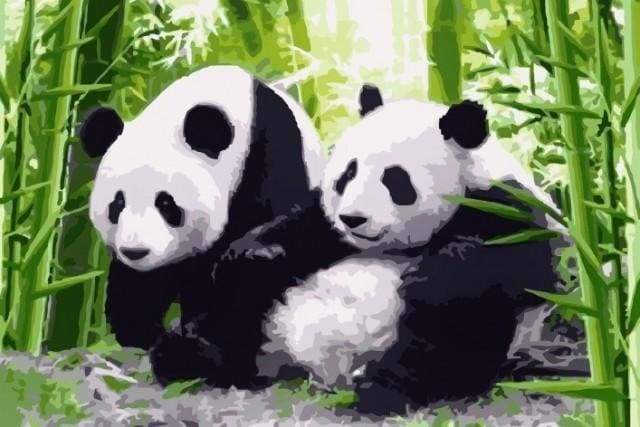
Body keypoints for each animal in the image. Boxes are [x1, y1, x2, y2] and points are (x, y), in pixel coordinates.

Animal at [79, 65, 325, 351]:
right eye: (117, 203)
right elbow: (140, 285)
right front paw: (144, 333)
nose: (135, 251)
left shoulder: (271, 155)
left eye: (166, 203)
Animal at [254, 85, 562, 413]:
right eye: (348, 174)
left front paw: (432, 277)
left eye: (395, 180)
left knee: (451, 334)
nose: (352, 218)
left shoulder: (504, 205)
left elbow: (511, 267)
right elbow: (294, 232)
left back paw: (382, 388)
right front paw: (265, 251)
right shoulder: (322, 226)